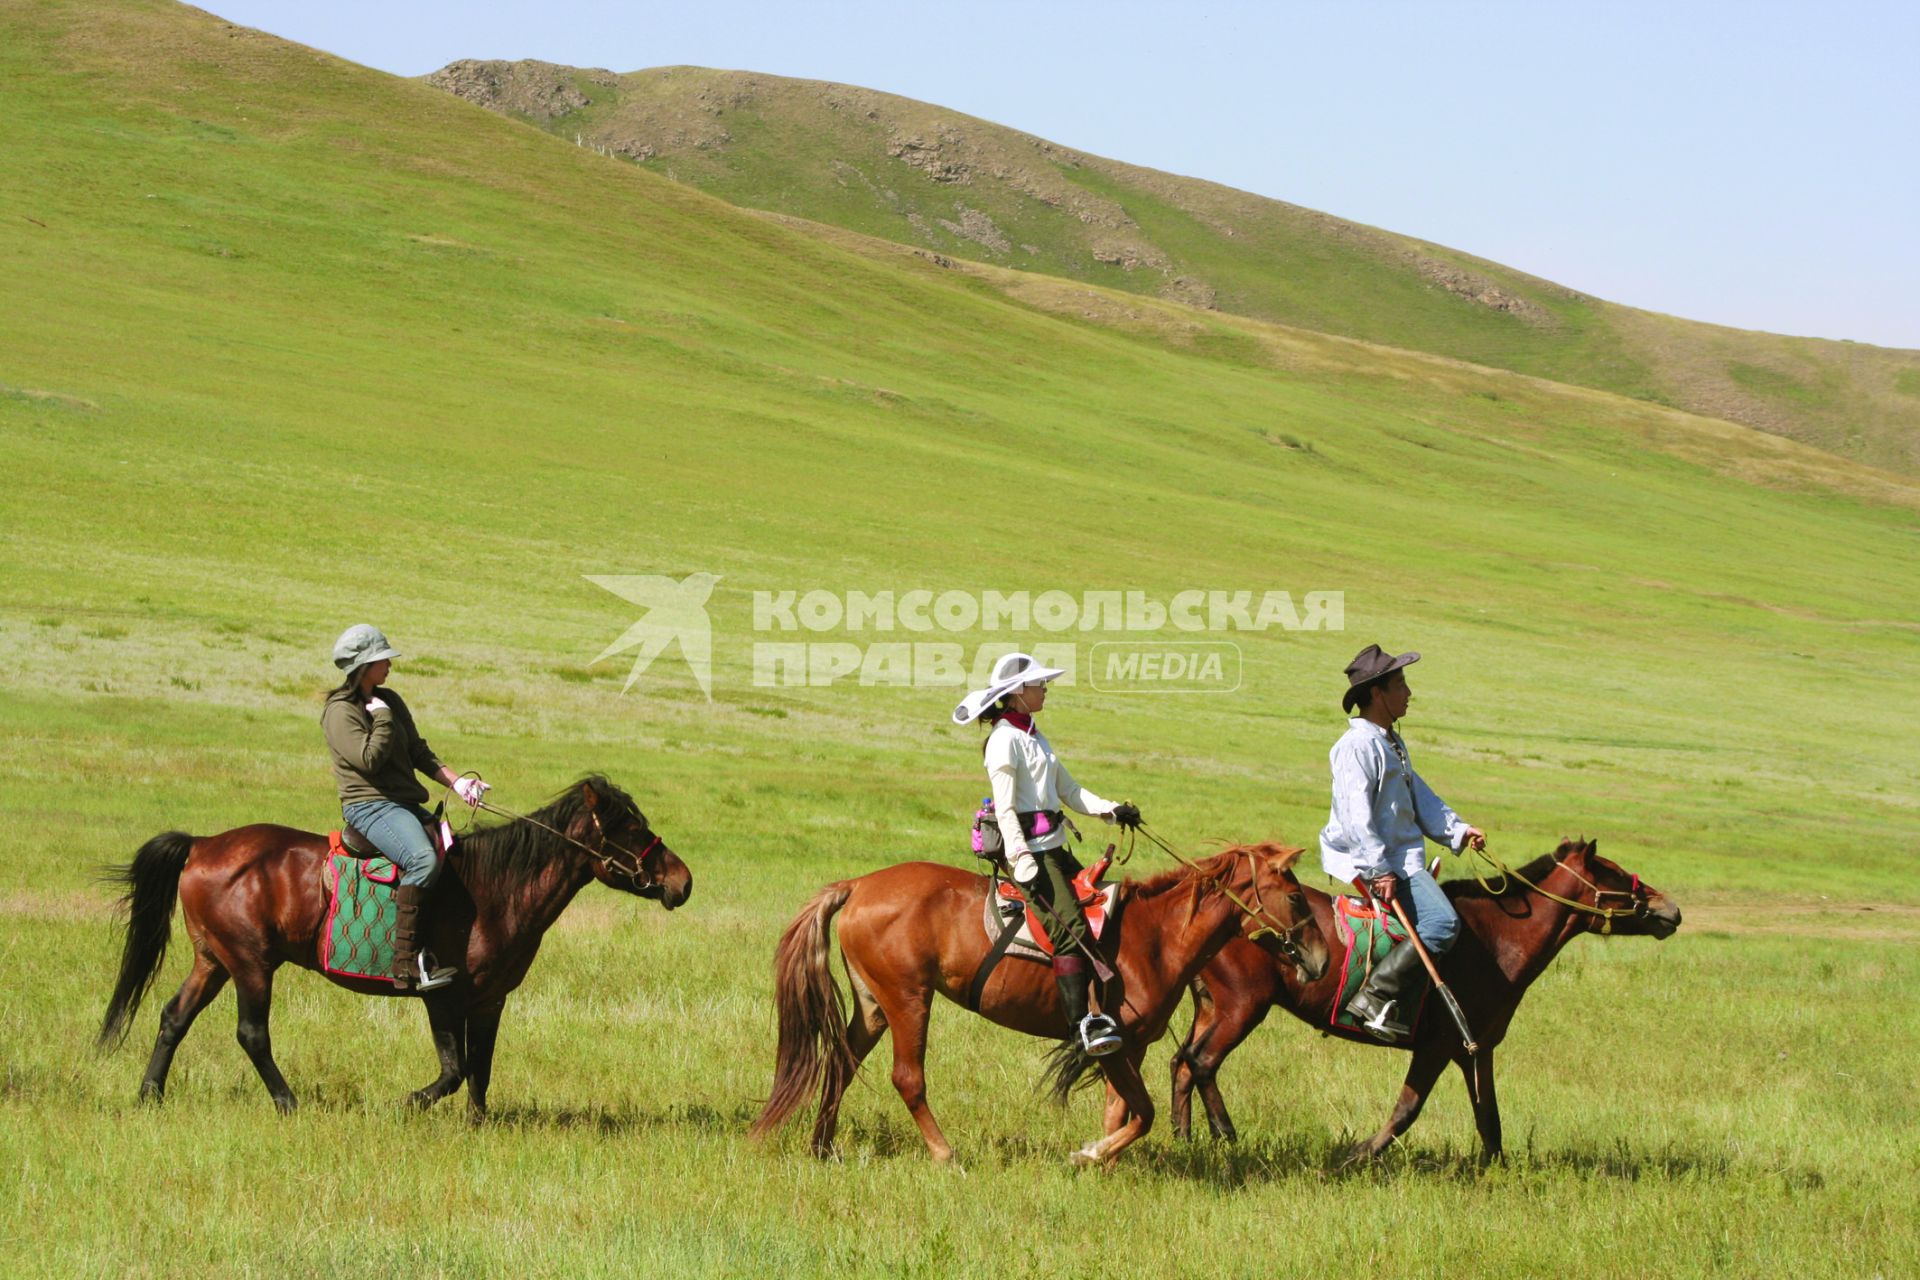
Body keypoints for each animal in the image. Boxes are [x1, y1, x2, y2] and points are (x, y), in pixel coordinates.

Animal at [97, 775, 695, 1113]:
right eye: (630, 829)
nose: (682, 882)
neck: (494, 889)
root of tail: (202, 845)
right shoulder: (443, 996)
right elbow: (454, 1070)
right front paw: (408, 1103)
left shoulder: (490, 1001)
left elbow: (481, 1069)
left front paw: (478, 1125)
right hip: (250, 963)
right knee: (252, 1034)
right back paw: (288, 1103)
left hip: (214, 960)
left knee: (174, 1016)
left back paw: (150, 1096)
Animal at [744, 844, 1320, 1166]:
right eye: (1296, 897)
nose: (1318, 959)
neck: (1156, 937)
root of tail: (859, 884)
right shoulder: (1115, 1042)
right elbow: (1144, 1113)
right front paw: (1088, 1156)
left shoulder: (1128, 1048)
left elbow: (1122, 1112)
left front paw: (1103, 1162)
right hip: (908, 1000)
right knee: (907, 1077)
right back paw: (945, 1155)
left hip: (873, 1006)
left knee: (840, 1063)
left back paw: (822, 1148)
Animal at [1159, 836, 1674, 1166]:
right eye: (1614, 875)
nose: (1670, 909)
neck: (1495, 940)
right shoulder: (1438, 1046)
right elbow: (1408, 1109)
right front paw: (1357, 1156)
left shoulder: (1476, 1050)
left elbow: (1489, 1118)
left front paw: (1499, 1172)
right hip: (1243, 1007)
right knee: (1202, 1063)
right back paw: (1224, 1135)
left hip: (1213, 1007)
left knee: (1182, 1063)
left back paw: (1185, 1138)